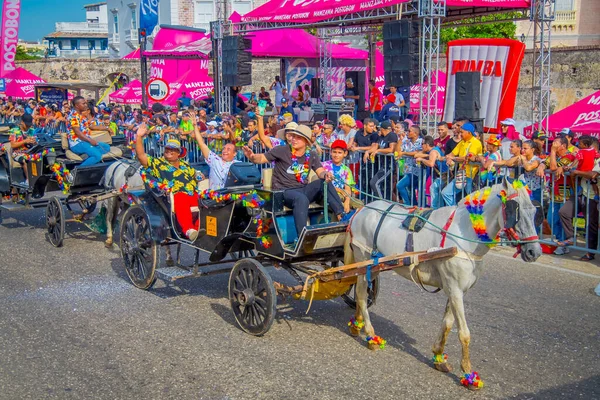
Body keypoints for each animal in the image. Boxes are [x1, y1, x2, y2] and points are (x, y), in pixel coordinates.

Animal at [342, 179, 544, 390]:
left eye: (535, 213)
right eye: (515, 212)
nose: (534, 252)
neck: (464, 235)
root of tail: (361, 210)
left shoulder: (455, 289)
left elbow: (447, 324)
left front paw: (439, 356)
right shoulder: (455, 290)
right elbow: (464, 333)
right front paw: (468, 373)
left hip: (373, 266)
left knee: (361, 294)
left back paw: (356, 325)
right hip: (363, 260)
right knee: (362, 295)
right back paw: (370, 335)